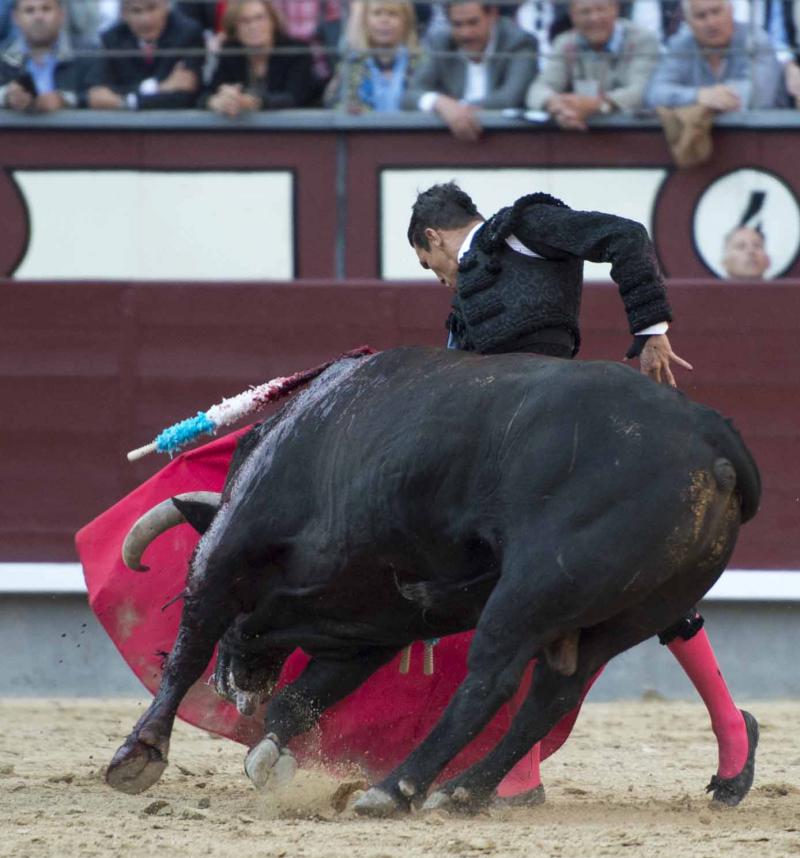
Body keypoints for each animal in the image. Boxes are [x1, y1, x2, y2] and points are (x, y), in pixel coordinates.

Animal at [105, 346, 760, 816]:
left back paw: (394, 790)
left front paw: (138, 755)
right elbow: (305, 696)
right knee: (554, 692)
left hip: (531, 590)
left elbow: (189, 644)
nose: (234, 689)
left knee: (491, 682)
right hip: (626, 615)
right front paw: (270, 759)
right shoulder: (372, 623)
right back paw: (463, 792)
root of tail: (712, 435)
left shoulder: (228, 548)